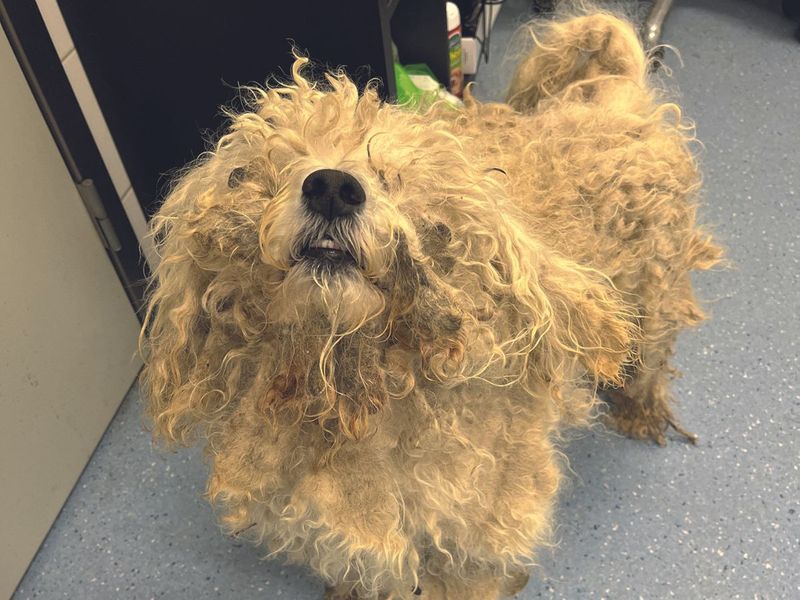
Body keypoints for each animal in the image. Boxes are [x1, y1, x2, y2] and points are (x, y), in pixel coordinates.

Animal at [141, 11, 720, 596]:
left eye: (395, 177)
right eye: (262, 168)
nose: (331, 186)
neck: (356, 383)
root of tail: (619, 96)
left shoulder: (481, 530)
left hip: (657, 292)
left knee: (651, 361)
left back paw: (640, 410)